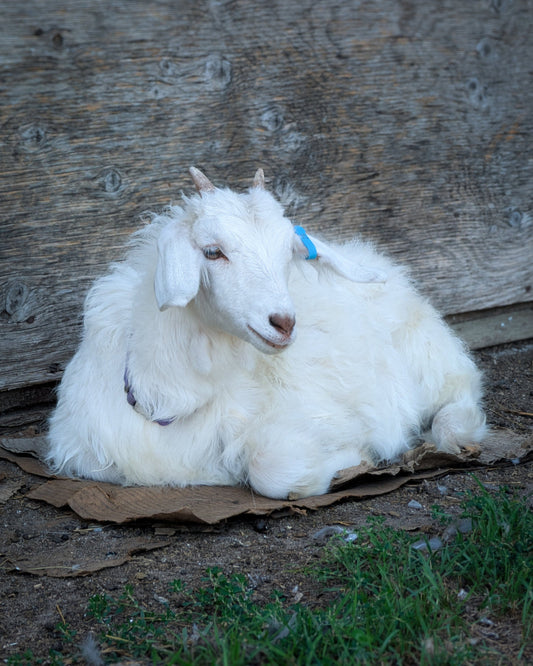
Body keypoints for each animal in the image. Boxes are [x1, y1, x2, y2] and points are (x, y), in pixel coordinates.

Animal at [47, 167, 486, 499]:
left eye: (288, 254)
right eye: (212, 251)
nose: (285, 322)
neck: (168, 400)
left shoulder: (319, 414)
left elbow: (274, 469)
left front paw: (351, 460)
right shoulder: (81, 451)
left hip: (429, 358)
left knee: (461, 392)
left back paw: (456, 435)